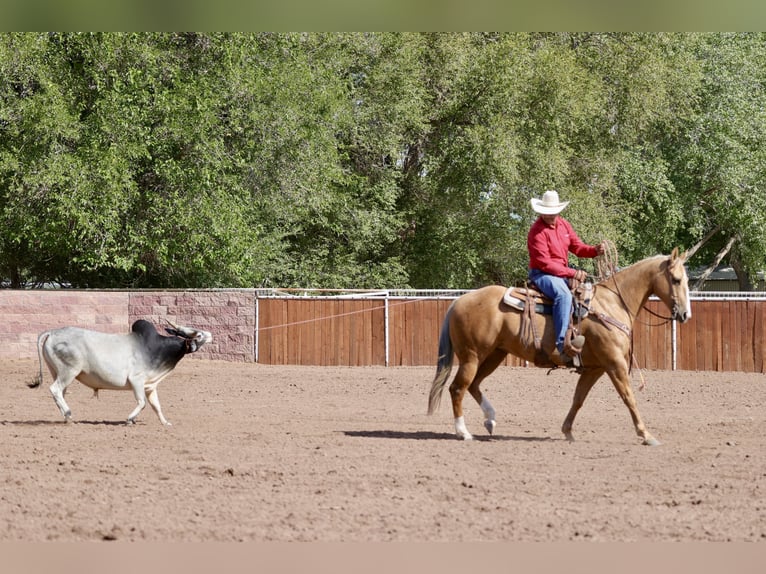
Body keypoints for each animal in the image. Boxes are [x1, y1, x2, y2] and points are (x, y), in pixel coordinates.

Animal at [427, 248, 691, 446]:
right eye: (676, 280)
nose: (685, 314)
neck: (612, 303)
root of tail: (460, 300)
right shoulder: (614, 362)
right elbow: (629, 397)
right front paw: (646, 435)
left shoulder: (594, 368)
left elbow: (578, 399)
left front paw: (568, 432)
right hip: (472, 356)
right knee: (458, 388)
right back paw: (463, 432)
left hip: (494, 355)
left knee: (474, 385)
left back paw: (490, 420)